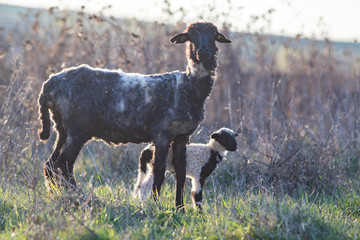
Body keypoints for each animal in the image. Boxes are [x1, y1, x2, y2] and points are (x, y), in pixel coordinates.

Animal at [38, 21, 231, 208]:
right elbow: (159, 171)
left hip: (62, 127)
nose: (203, 52)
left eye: (214, 36)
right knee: (63, 164)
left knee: (51, 165)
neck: (188, 86)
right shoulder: (162, 134)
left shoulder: (182, 136)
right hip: (78, 129)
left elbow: (181, 172)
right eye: (190, 36)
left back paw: (56, 194)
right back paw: (77, 195)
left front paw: (180, 208)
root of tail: (50, 83)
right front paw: (155, 205)